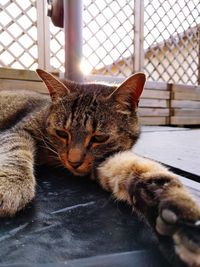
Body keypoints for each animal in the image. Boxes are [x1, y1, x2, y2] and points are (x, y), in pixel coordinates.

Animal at [0, 69, 199, 267]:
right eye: (62, 133)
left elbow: (145, 172)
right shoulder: (18, 131)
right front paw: (10, 184)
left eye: (99, 138)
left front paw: (179, 213)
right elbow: (15, 150)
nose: (73, 162)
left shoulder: (109, 158)